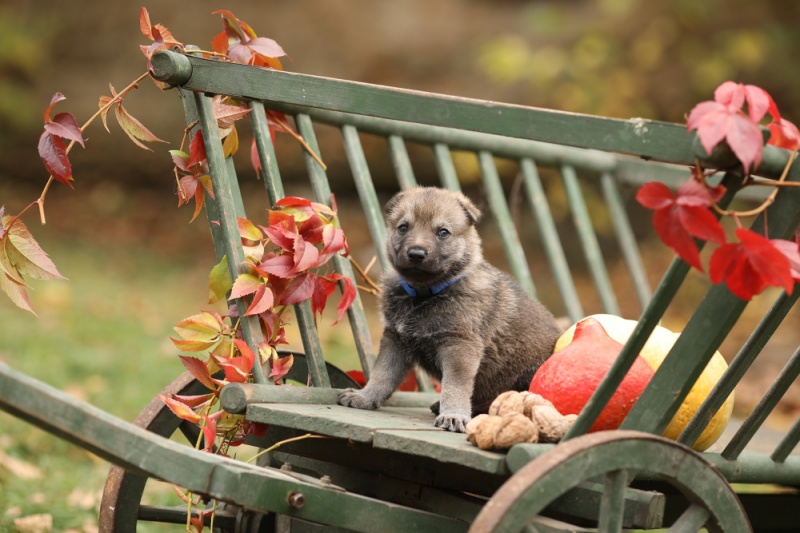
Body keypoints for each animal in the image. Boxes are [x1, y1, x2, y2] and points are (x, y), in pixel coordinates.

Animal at [334, 187, 560, 432]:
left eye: (443, 232)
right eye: (403, 228)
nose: (416, 253)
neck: (424, 294)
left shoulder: (459, 347)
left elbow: (454, 385)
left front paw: (453, 415)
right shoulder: (395, 341)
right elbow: (382, 374)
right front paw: (365, 396)